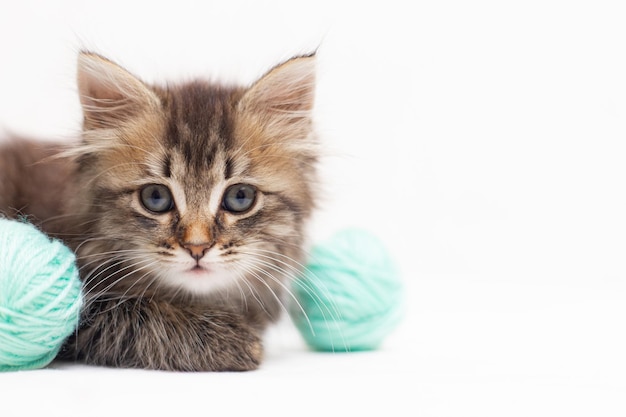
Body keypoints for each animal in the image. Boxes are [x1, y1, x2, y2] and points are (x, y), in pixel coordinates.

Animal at [0, 52, 316, 370]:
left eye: (240, 197)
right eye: (155, 197)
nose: (197, 247)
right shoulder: (88, 312)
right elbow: (137, 317)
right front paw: (235, 340)